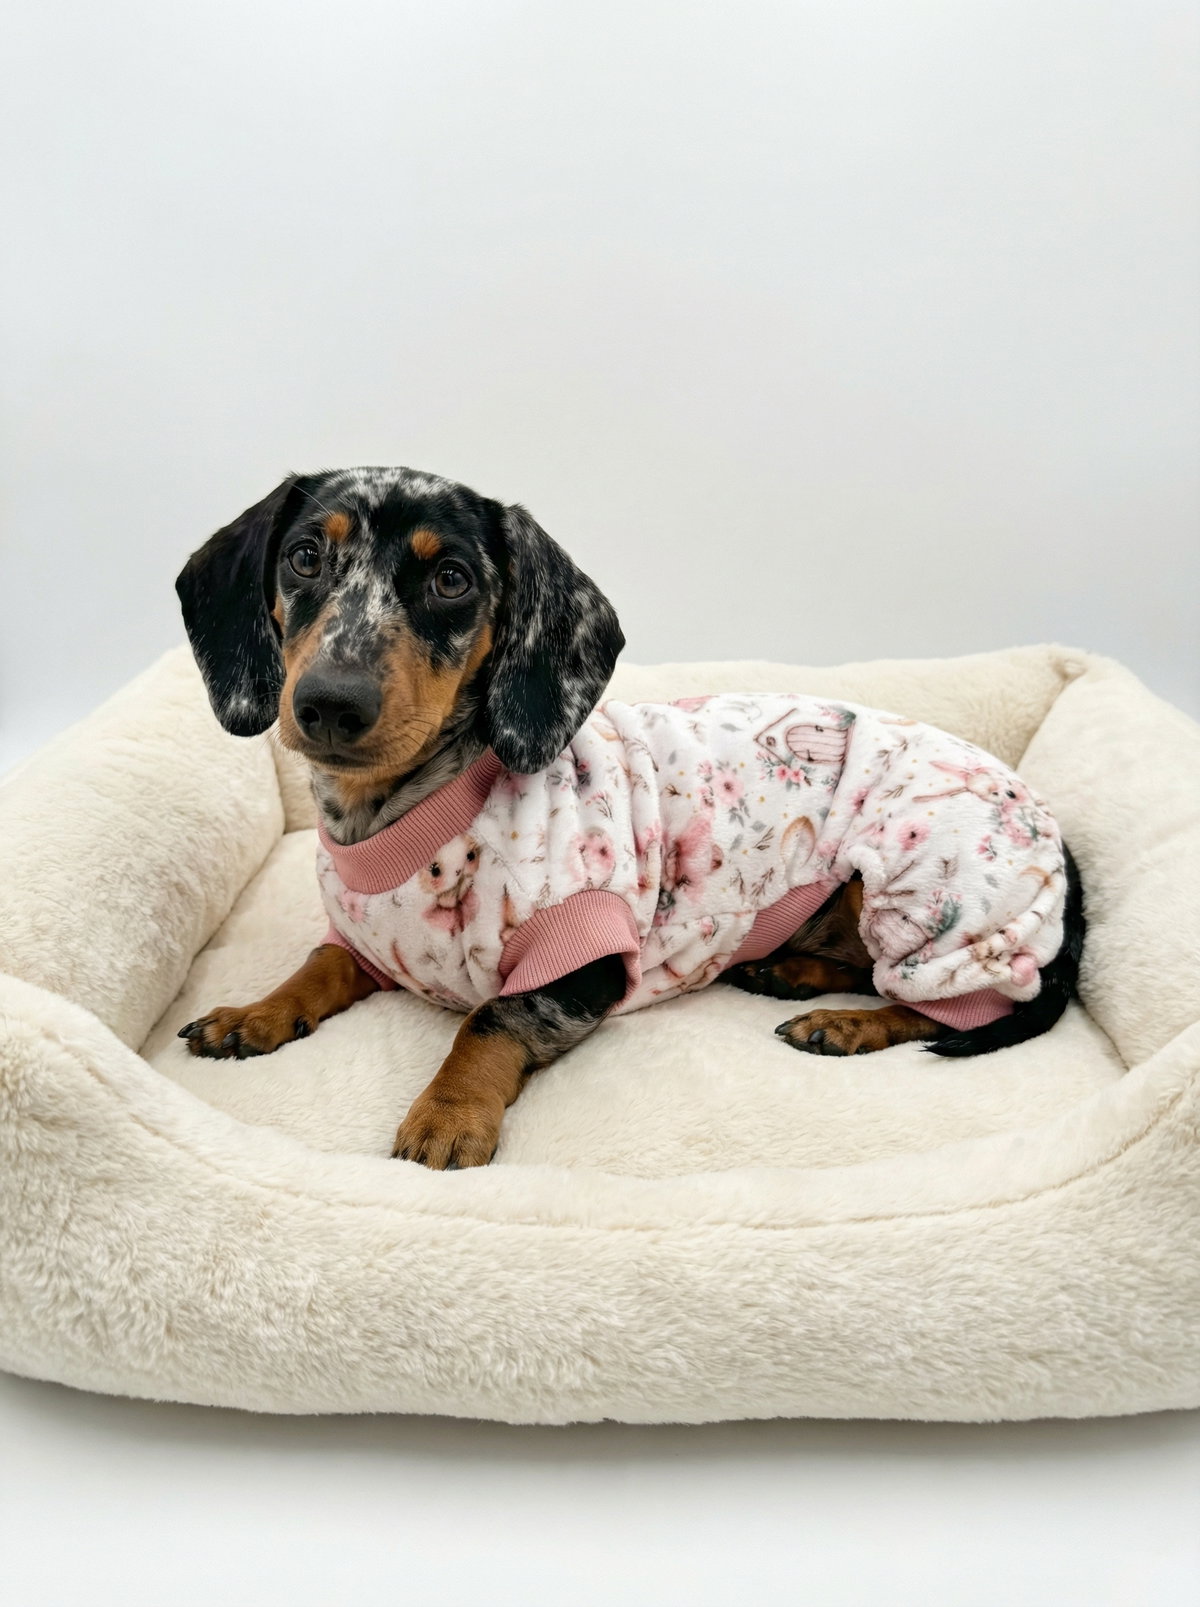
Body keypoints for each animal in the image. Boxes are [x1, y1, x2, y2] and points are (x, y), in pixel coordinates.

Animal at [175, 466, 1085, 1170]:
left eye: (452, 579)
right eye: (305, 557)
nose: (330, 703)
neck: (403, 815)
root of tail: (1061, 844)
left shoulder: (582, 959)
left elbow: (486, 1018)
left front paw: (447, 1114)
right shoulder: (369, 940)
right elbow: (319, 967)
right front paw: (254, 1014)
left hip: (918, 891)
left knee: (950, 1004)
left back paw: (840, 1024)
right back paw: (792, 972)